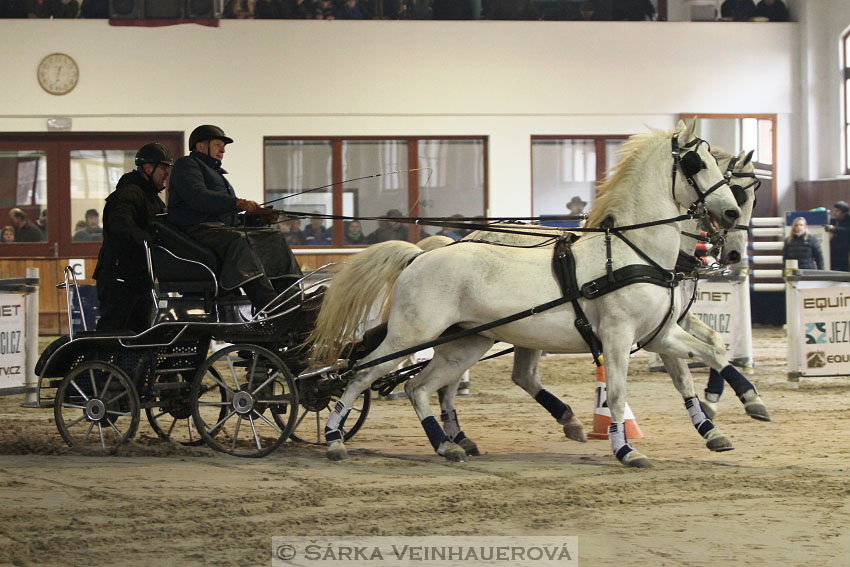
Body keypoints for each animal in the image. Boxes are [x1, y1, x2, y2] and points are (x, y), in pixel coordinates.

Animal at [308, 118, 740, 466]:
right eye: (696, 163)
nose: (732, 214)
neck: (632, 251)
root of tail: (419, 256)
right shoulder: (618, 336)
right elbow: (616, 393)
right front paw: (625, 450)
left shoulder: (658, 334)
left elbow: (712, 353)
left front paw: (735, 409)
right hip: (410, 336)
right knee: (363, 374)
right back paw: (334, 439)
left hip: (466, 343)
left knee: (420, 386)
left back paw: (447, 444)